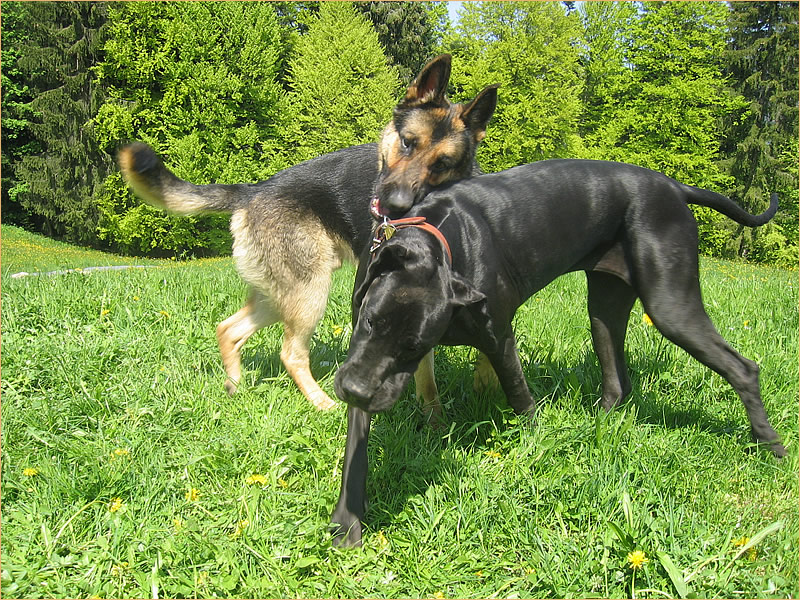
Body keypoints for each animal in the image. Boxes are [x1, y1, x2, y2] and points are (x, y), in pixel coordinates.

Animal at [118, 55, 496, 412]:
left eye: (442, 164)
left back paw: (235, 385)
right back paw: (321, 402)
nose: (395, 204)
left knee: (228, 329)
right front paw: (435, 419)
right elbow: (428, 381)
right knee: (291, 353)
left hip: (281, 296)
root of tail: (252, 191)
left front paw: (483, 389)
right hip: (310, 292)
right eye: (407, 143)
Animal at [330, 157, 788, 548]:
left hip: (670, 305)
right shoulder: (363, 354)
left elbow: (520, 398)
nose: (354, 390)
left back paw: (769, 444)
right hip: (605, 308)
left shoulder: (499, 339)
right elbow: (355, 449)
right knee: (618, 381)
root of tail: (674, 186)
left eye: (416, 345)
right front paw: (347, 520)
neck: (439, 243)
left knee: (744, 368)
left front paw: (536, 444)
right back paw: (596, 426)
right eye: (370, 321)